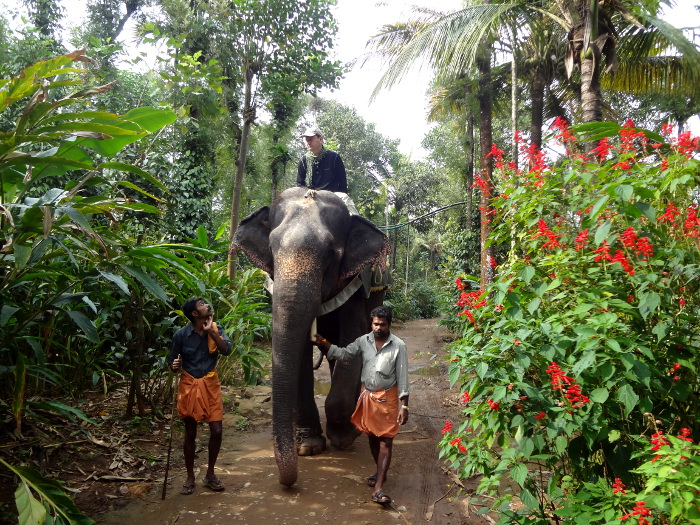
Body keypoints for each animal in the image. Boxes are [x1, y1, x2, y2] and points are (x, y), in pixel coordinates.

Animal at [234, 186, 392, 486]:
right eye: (271, 248)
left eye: (331, 253)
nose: (287, 482)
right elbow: (299, 351)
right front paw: (308, 447)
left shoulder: (355, 282)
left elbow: (353, 338)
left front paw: (345, 436)